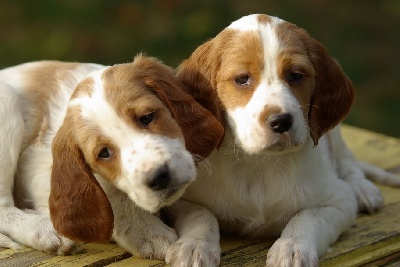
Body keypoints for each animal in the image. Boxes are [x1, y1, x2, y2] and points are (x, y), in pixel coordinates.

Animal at [0, 54, 223, 260]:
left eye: (147, 117)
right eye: (104, 153)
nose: (159, 177)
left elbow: (202, 212)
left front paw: (197, 247)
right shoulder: (36, 170)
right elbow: (108, 193)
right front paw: (146, 231)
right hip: (6, 101)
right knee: (4, 208)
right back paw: (45, 230)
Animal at [163, 14, 400, 267]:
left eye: (295, 75)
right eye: (242, 79)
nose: (281, 121)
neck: (260, 164)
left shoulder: (339, 201)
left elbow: (307, 217)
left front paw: (293, 248)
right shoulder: (180, 199)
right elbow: (201, 214)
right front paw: (194, 246)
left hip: (335, 137)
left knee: (348, 161)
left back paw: (363, 189)